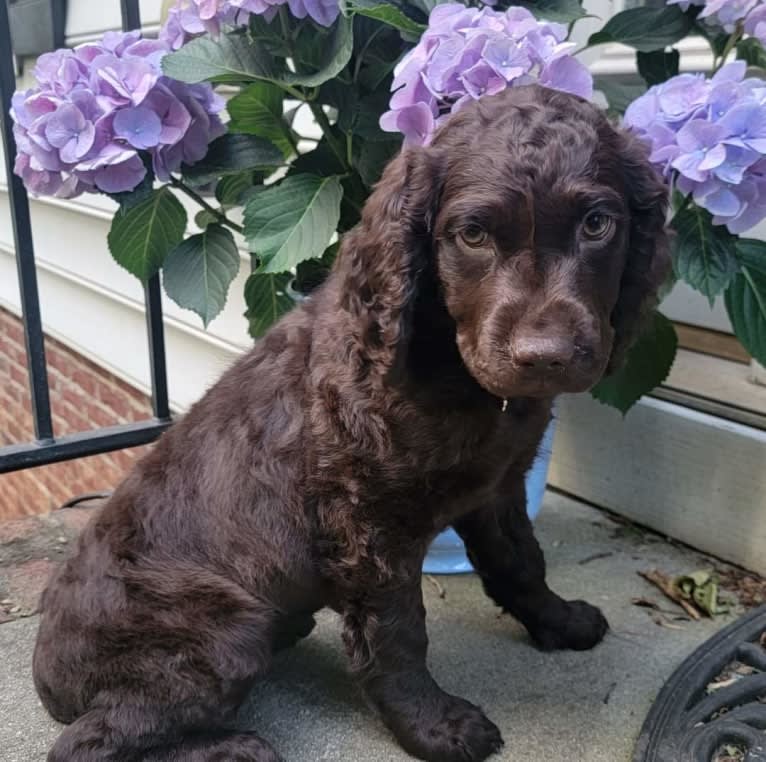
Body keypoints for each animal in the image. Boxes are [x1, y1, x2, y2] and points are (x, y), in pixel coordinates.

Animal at [34, 84, 672, 760]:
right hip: (221, 627)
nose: (544, 357)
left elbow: (521, 562)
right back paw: (231, 747)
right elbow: (397, 634)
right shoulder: (366, 527)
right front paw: (436, 727)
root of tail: (48, 678)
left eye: (597, 225)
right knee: (86, 743)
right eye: (472, 234)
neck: (445, 367)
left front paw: (561, 621)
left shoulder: (496, 488)